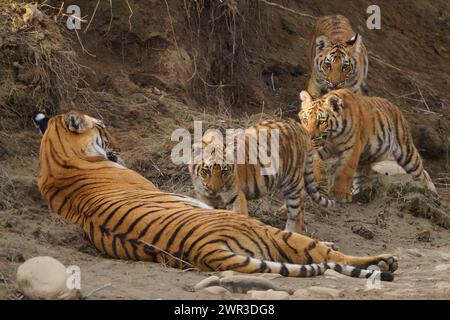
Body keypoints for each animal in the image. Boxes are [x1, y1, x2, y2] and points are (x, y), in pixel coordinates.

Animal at [189, 119, 338, 232]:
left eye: (224, 172)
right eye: (207, 171)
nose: (214, 190)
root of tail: (299, 126)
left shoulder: (235, 196)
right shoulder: (203, 197)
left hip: (292, 183)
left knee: (296, 211)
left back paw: (290, 233)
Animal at [298, 89, 436, 201]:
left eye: (321, 122)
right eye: (305, 120)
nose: (309, 137)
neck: (332, 138)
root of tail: (395, 107)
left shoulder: (352, 148)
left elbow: (344, 171)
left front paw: (339, 194)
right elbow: (316, 165)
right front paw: (318, 186)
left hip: (407, 152)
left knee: (421, 174)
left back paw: (428, 195)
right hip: (365, 160)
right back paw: (358, 194)